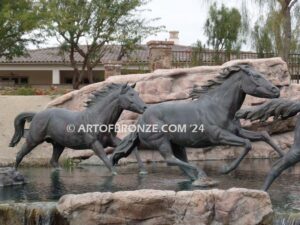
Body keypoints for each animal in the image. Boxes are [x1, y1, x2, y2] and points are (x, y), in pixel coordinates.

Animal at [9, 83, 148, 174]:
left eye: (137, 93)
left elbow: (133, 148)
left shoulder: (111, 140)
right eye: (131, 94)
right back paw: (14, 172)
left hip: (58, 144)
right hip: (34, 139)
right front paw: (114, 172)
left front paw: (143, 170)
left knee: (53, 161)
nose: (145, 107)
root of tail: (36, 114)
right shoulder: (94, 144)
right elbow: (105, 159)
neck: (97, 118)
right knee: (20, 154)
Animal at [110, 64, 284, 186]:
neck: (219, 106)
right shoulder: (219, 136)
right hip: (161, 142)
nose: (276, 90)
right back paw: (202, 175)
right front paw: (225, 169)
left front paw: (282, 157)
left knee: (181, 162)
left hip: (178, 144)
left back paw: (198, 178)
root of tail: (140, 121)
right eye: (256, 76)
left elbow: (264, 135)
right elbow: (247, 144)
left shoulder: (238, 131)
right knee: (170, 160)